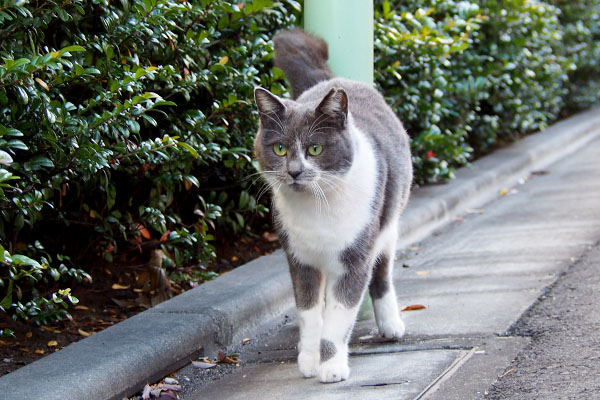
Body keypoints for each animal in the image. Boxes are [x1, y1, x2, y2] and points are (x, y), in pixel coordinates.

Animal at [252, 29, 412, 382]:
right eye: (280, 148)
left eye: (315, 148)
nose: (294, 171)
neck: (317, 208)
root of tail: (332, 80)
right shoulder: (299, 259)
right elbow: (310, 313)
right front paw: (310, 360)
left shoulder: (355, 257)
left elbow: (340, 316)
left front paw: (332, 367)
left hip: (388, 223)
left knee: (382, 270)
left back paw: (391, 324)